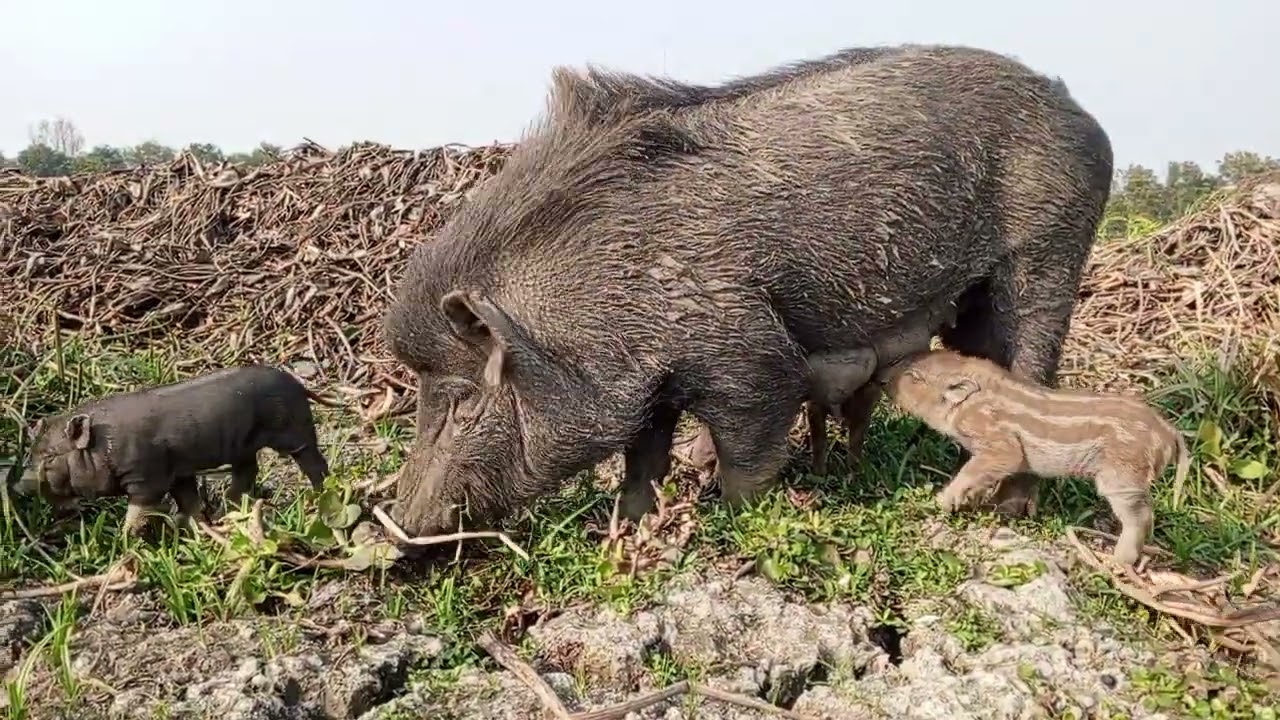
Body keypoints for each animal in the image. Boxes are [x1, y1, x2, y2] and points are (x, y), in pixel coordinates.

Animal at [12, 365, 332, 534]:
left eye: (50, 457)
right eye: (33, 453)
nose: (17, 484)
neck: (104, 448)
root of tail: (298, 384)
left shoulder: (146, 475)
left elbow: (141, 506)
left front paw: (126, 537)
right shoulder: (179, 471)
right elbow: (186, 497)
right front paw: (192, 525)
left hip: (293, 429)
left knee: (312, 459)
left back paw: (321, 494)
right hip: (244, 445)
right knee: (248, 468)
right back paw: (227, 507)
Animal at [382, 43, 1115, 538]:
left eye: (460, 399)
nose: (402, 524)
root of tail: (1084, 115)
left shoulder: (752, 361)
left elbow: (746, 460)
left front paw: (731, 520)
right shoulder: (654, 391)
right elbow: (640, 462)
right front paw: (628, 529)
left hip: (1048, 254)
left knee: (1034, 372)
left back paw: (1011, 514)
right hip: (976, 300)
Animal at [878, 349, 1191, 566]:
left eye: (915, 377)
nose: (880, 378)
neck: (972, 402)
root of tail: (1170, 433)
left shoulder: (1001, 447)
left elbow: (973, 470)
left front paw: (943, 502)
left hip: (1122, 478)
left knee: (1142, 516)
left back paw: (1116, 562)